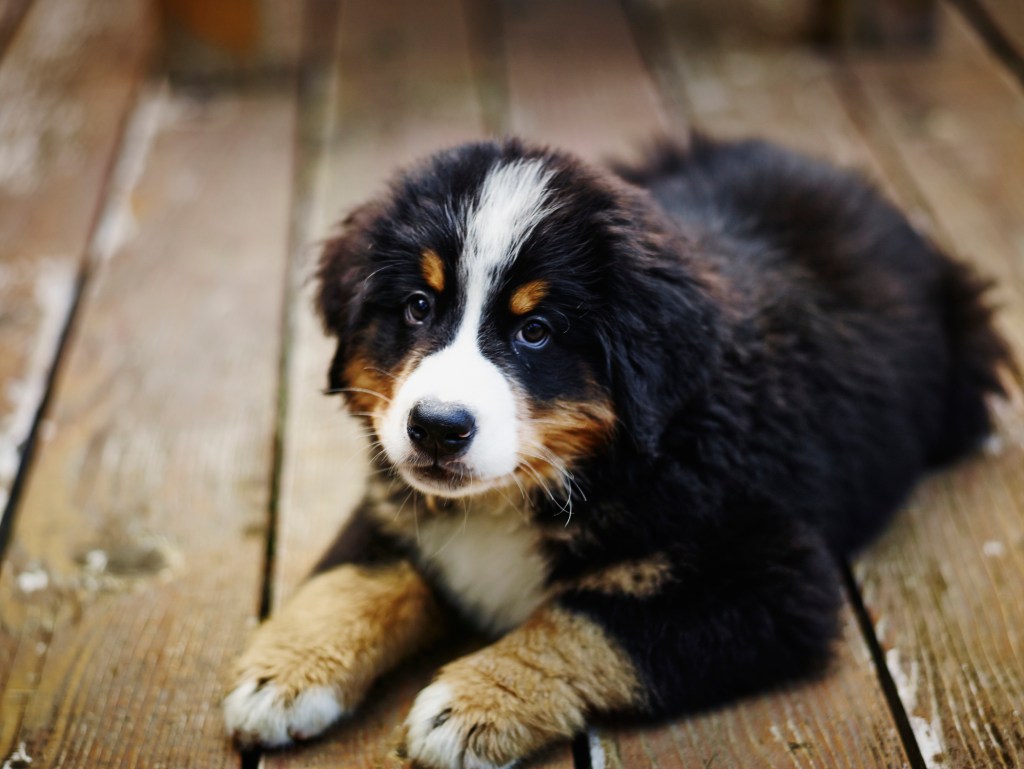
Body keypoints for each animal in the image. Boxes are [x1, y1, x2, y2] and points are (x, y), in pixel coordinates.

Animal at [222, 135, 1007, 765]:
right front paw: (284, 672)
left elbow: (590, 622)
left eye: (535, 331)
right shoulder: (395, 495)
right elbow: (357, 576)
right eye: (418, 306)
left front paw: (474, 704)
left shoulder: (775, 582)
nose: (438, 428)